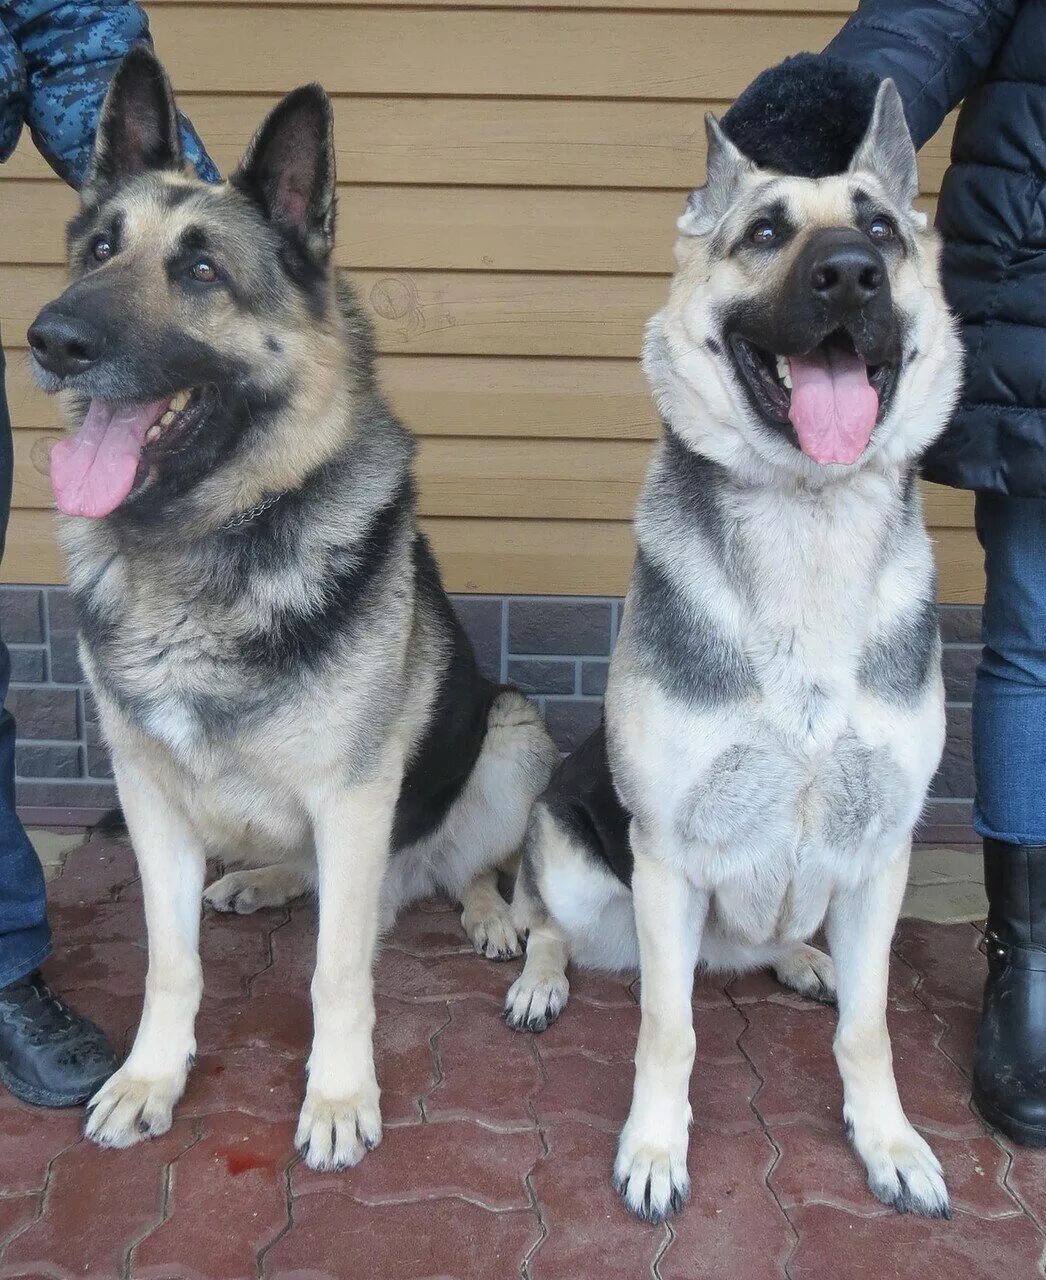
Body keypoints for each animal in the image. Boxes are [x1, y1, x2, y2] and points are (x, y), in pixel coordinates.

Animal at [28, 49, 558, 1172]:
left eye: (200, 272)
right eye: (99, 249)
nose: (50, 337)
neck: (201, 547)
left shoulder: (354, 803)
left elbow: (335, 972)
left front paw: (338, 1095)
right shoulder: (152, 802)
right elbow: (171, 962)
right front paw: (151, 1076)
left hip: (509, 732)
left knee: (470, 866)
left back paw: (488, 914)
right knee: (315, 879)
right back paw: (265, 879)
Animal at [506, 80, 962, 1218]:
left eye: (880, 230)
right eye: (764, 233)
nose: (848, 272)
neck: (807, 522)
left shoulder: (880, 852)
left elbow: (870, 1028)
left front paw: (888, 1139)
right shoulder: (667, 857)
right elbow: (667, 1030)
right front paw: (655, 1147)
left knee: (787, 948)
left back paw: (800, 958)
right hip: (573, 855)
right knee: (550, 919)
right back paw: (538, 977)